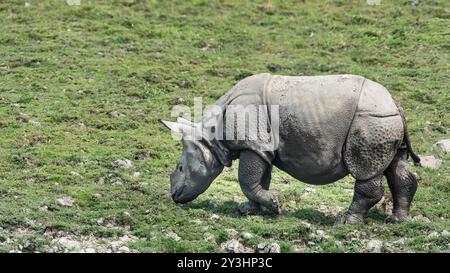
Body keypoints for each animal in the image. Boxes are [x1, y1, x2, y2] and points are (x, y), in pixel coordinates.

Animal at [160, 73, 420, 223]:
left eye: (180, 168)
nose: (174, 196)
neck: (211, 135)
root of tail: (394, 102)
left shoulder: (253, 143)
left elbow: (247, 180)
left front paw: (276, 204)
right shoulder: (261, 147)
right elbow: (259, 179)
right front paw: (251, 209)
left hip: (371, 120)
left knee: (366, 169)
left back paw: (346, 222)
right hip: (384, 120)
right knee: (396, 166)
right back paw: (399, 221)